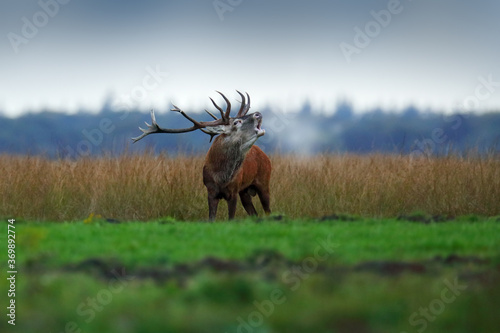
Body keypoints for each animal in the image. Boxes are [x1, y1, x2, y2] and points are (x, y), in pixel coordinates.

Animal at [132, 91, 270, 220]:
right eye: (236, 122)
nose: (257, 113)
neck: (221, 177)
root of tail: (263, 154)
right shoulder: (211, 191)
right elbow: (211, 219)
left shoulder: (234, 191)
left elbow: (231, 218)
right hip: (245, 191)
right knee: (254, 213)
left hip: (264, 182)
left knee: (268, 211)